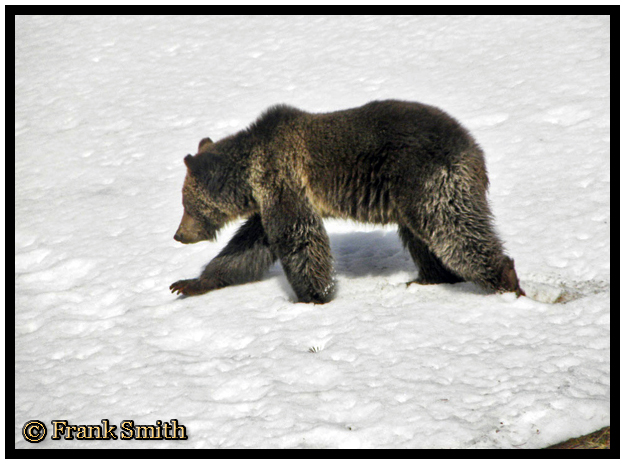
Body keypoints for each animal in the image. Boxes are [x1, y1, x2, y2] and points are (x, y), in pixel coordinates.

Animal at [169, 99, 520, 302]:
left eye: (186, 205)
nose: (179, 234)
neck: (250, 175)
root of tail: (473, 147)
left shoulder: (283, 181)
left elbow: (299, 238)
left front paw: (313, 295)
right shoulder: (268, 201)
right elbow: (247, 247)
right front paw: (190, 283)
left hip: (427, 179)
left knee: (453, 231)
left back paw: (505, 281)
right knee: (424, 240)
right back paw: (429, 278)